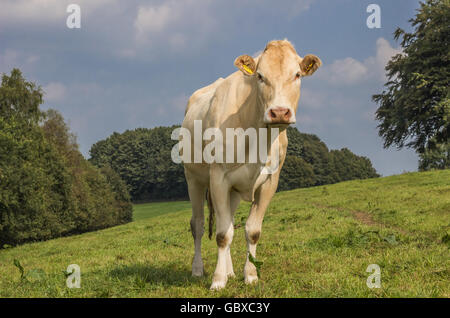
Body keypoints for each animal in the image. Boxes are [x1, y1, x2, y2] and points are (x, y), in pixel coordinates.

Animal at [181, 38, 322, 290]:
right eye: (260, 76)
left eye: (297, 74)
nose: (279, 112)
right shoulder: (218, 178)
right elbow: (222, 235)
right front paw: (217, 281)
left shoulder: (269, 182)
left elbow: (251, 231)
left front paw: (250, 275)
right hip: (193, 179)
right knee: (198, 225)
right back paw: (198, 269)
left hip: (233, 192)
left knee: (227, 222)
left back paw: (230, 272)